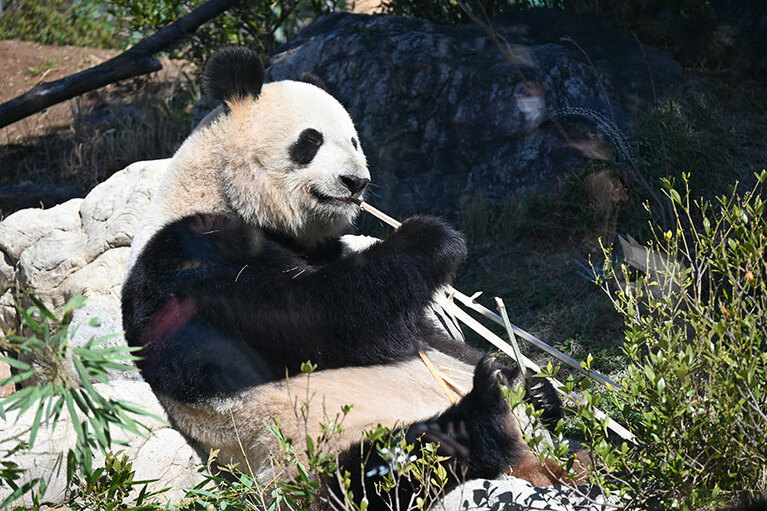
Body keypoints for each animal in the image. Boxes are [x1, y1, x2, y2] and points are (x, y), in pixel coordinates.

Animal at [123, 47, 572, 508]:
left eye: (354, 140)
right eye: (310, 141)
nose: (356, 182)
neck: (218, 190)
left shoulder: (320, 249)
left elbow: (423, 333)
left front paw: (532, 383)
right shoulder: (189, 262)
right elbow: (317, 315)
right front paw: (432, 236)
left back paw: (534, 395)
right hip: (311, 454)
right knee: (394, 464)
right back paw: (487, 413)